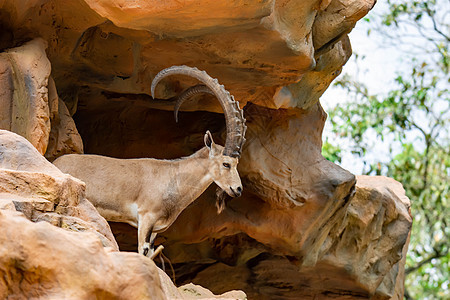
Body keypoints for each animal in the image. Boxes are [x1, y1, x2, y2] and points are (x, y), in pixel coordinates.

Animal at [55, 67, 250, 256]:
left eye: (236, 164)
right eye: (226, 163)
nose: (238, 189)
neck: (173, 177)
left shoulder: (155, 230)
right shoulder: (145, 219)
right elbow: (142, 252)